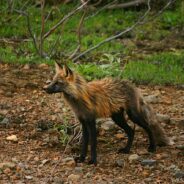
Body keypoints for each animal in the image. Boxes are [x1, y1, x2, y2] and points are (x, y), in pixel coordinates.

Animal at [43, 62, 173, 165]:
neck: (79, 99)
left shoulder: (91, 121)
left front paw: (93, 161)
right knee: (131, 131)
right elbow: (84, 143)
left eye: (57, 83)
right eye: (52, 81)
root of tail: (129, 83)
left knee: (148, 127)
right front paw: (81, 159)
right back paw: (126, 150)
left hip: (133, 115)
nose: (44, 88)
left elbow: (93, 143)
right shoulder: (83, 122)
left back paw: (152, 147)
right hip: (117, 118)